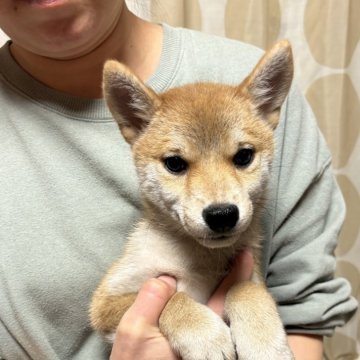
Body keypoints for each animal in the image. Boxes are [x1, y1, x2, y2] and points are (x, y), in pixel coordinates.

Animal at [90, 40, 296, 360]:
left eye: (244, 156)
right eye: (175, 163)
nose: (222, 214)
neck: (201, 260)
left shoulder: (250, 276)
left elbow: (245, 289)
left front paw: (263, 341)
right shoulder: (108, 300)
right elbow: (174, 300)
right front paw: (207, 337)